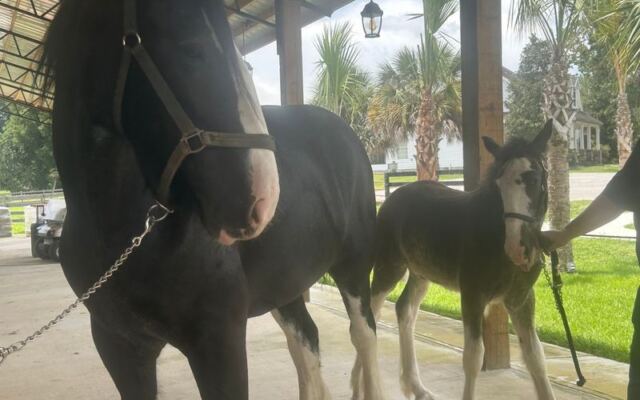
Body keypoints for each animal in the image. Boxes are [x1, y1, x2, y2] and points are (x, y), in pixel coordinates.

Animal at [42, 0, 380, 399]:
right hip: (286, 284)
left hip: (354, 267)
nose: (262, 198)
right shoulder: (119, 346)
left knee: (364, 338)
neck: (123, 238)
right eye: (191, 48)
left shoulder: (219, 342)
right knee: (306, 345)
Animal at [366, 121, 555, 400]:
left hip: (421, 274)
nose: (518, 248)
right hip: (390, 267)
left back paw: (415, 387)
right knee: (371, 313)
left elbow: (535, 357)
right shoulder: (472, 295)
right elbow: (473, 357)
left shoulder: (521, 299)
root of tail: (391, 198)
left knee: (405, 310)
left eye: (536, 179)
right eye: (499, 184)